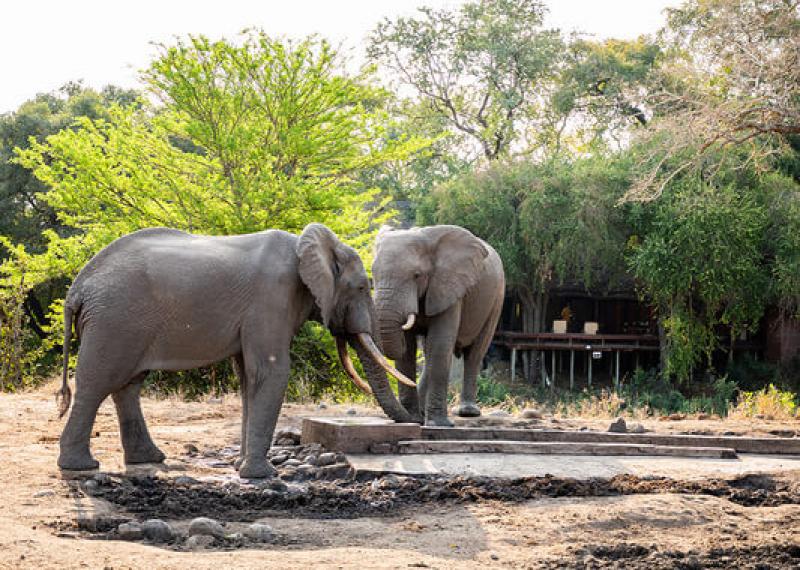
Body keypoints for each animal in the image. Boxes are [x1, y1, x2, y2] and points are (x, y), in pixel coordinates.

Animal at [56, 222, 416, 474]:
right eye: (362, 288)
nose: (413, 424)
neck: (308, 245)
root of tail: (78, 287)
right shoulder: (272, 297)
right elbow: (271, 371)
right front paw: (262, 475)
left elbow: (248, 377)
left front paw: (241, 468)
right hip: (115, 319)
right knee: (97, 383)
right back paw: (80, 466)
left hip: (122, 322)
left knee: (127, 385)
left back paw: (148, 459)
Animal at [370, 224, 506, 424]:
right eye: (373, 274)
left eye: (416, 275)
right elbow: (408, 349)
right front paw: (413, 419)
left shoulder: (449, 286)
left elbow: (440, 344)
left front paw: (439, 424)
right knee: (429, 354)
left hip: (497, 298)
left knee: (474, 353)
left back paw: (468, 412)